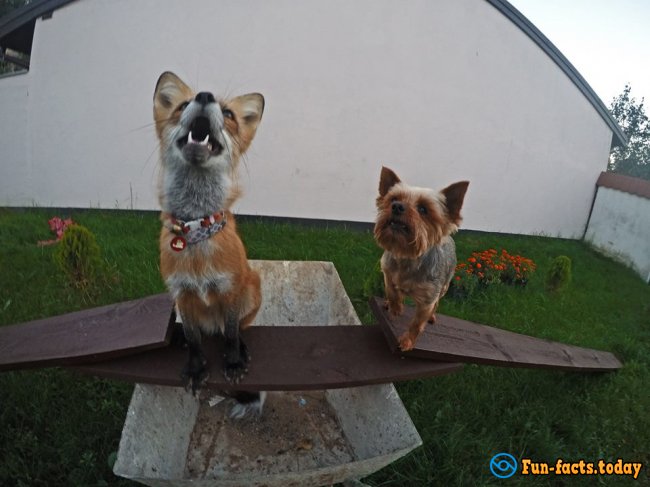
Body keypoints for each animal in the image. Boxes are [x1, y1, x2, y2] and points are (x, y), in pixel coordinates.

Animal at [152, 71, 264, 416]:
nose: (204, 96)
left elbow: (230, 335)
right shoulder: (181, 293)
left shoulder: (229, 289)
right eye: (183, 104)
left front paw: (233, 362)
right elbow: (193, 339)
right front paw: (196, 368)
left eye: (228, 114)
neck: (195, 231)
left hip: (252, 288)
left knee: (238, 327)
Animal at [372, 167, 468, 350]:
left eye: (423, 209)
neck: (407, 256)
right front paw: (395, 306)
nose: (397, 206)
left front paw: (407, 341)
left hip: (445, 286)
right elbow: (391, 290)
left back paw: (431, 316)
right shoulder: (387, 271)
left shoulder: (428, 299)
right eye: (393, 199)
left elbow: (417, 323)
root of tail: (448, 238)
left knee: (437, 303)